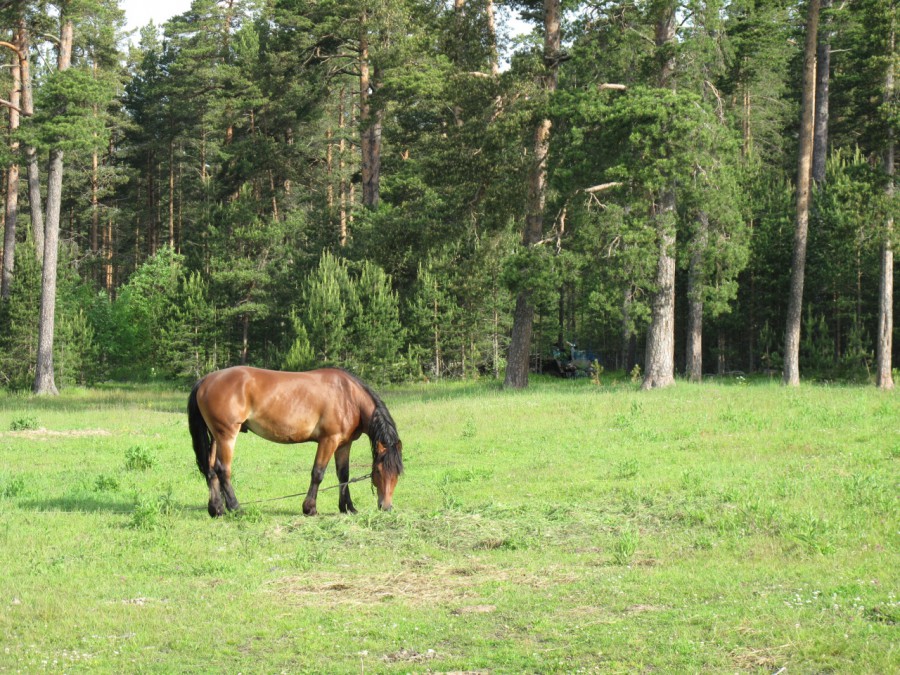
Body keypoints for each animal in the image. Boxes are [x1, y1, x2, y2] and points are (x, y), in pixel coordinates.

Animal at [186, 370, 404, 516]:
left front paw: (347, 507)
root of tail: (206, 380)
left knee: (211, 470)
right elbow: (318, 473)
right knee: (223, 470)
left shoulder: (343, 444)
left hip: (216, 436)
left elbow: (343, 475)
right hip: (227, 435)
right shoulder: (328, 440)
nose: (386, 507)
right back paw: (236, 508)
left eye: (397, 474)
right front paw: (310, 508)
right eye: (378, 472)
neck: (348, 396)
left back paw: (217, 509)